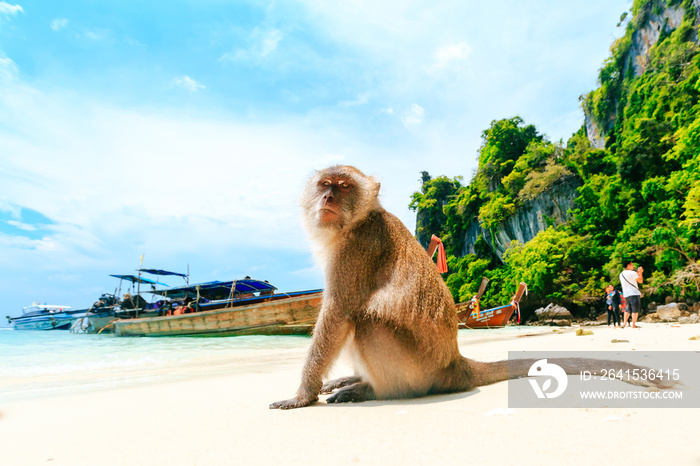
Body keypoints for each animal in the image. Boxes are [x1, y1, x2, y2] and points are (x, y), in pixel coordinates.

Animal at [270, 166, 672, 410]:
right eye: (325, 185)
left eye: (344, 187)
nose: (327, 199)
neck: (356, 222)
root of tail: (454, 364)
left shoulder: (356, 249)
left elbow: (338, 313)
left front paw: (302, 396)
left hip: (417, 370)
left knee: (365, 320)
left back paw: (374, 390)